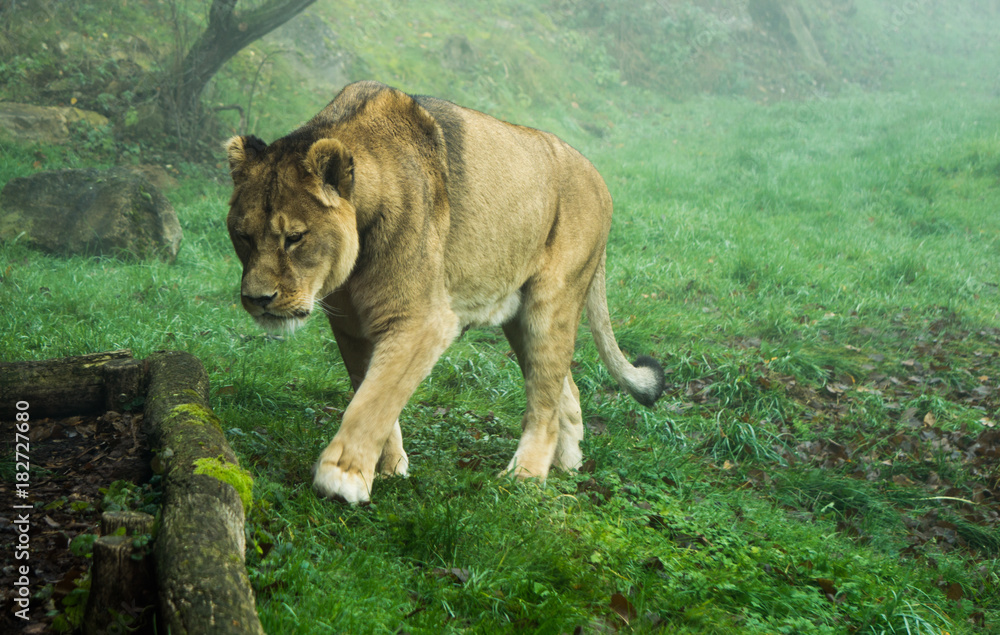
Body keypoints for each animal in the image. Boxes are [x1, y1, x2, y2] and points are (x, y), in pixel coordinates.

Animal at [225, 81, 665, 504]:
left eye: (294, 238)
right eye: (243, 236)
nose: (257, 299)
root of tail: (599, 177)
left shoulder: (423, 321)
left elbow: (373, 401)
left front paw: (341, 478)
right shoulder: (351, 326)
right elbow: (368, 390)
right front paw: (389, 467)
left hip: (550, 302)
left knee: (543, 398)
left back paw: (524, 478)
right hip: (518, 315)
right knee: (563, 388)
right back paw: (568, 464)